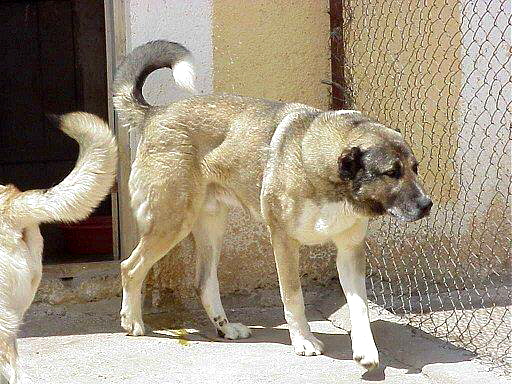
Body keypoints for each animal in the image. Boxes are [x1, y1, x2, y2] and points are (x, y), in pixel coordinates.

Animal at [113, 40, 432, 370]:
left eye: (415, 168)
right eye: (392, 172)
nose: (427, 204)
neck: (330, 182)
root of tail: (155, 114)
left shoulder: (349, 250)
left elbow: (360, 306)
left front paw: (366, 350)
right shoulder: (283, 241)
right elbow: (293, 297)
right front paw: (304, 341)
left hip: (212, 226)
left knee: (204, 282)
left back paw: (225, 328)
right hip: (172, 221)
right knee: (130, 267)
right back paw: (132, 322)